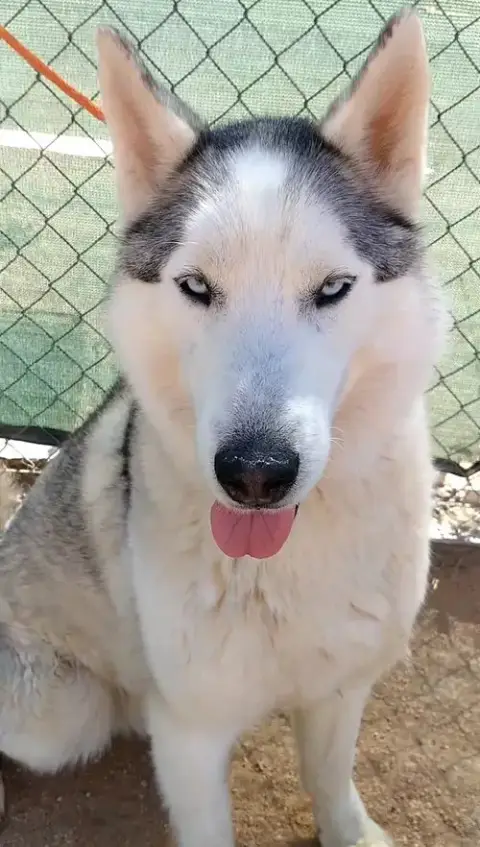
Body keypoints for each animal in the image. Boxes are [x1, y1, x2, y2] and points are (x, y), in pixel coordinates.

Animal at [0, 10, 446, 847]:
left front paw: (350, 829)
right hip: (61, 712)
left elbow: (331, 780)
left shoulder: (341, 687)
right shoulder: (193, 734)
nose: (256, 473)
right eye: (197, 287)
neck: (289, 562)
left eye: (332, 288)